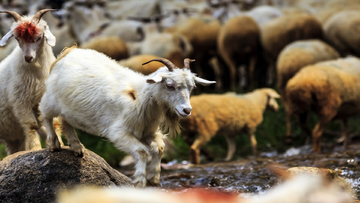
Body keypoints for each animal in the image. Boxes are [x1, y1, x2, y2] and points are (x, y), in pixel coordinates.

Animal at [0, 8, 56, 153]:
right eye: (17, 38)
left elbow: (53, 123)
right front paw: (36, 148)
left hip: (13, 137)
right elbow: (32, 126)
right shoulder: (21, 102)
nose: (28, 58)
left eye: (39, 37)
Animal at [39, 48, 215, 188]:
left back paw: (77, 148)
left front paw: (154, 178)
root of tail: (68, 52)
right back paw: (54, 144)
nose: (187, 110)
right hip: (50, 99)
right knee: (46, 115)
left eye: (192, 87)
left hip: (68, 107)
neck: (141, 96)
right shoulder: (119, 132)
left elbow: (159, 147)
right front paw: (140, 181)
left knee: (65, 121)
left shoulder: (147, 131)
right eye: (169, 85)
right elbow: (141, 151)